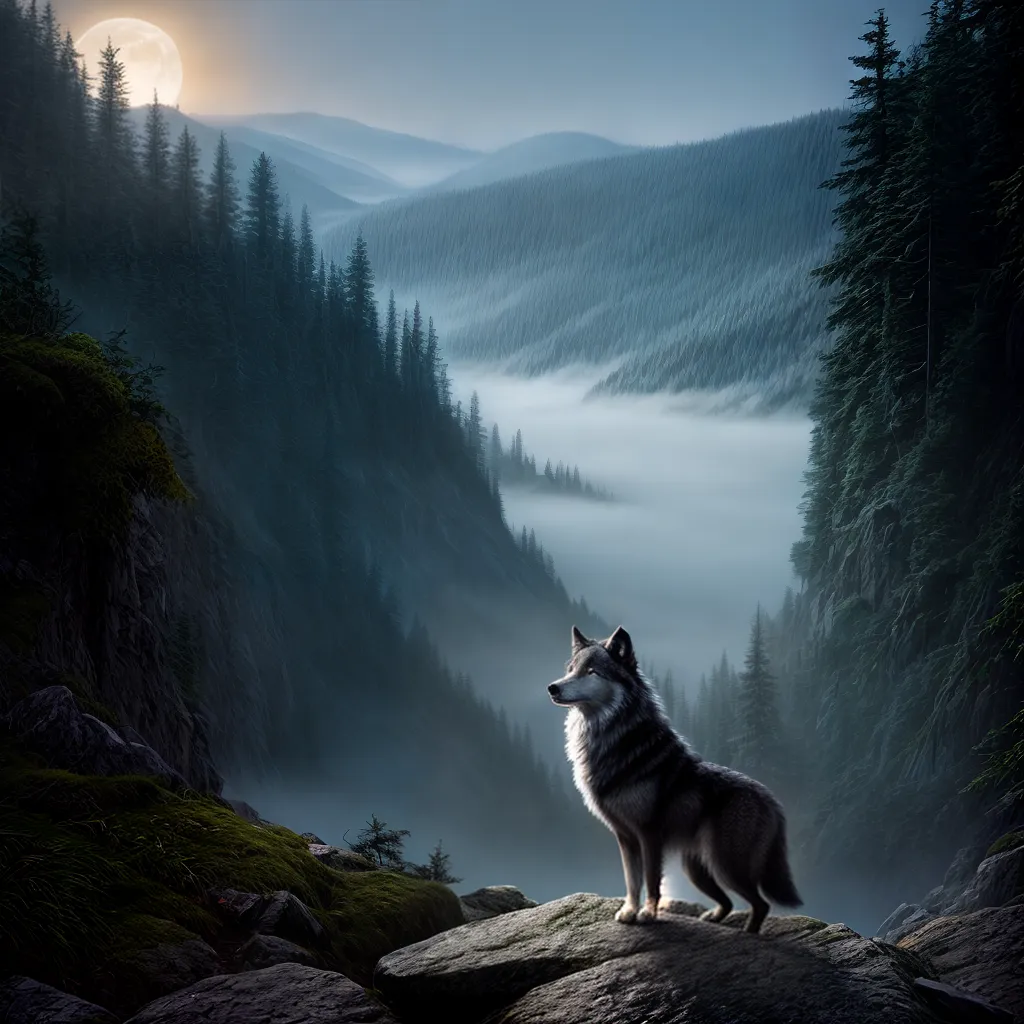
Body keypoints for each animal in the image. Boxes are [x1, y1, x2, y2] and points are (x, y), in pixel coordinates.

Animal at [548, 625, 802, 933]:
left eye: (592, 671)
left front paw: (647, 914)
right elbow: (632, 882)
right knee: (729, 902)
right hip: (697, 871)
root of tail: (772, 800)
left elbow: (652, 882)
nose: (553, 687)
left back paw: (749, 934)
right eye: (571, 670)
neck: (607, 739)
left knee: (761, 904)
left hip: (726, 867)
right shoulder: (625, 838)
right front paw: (629, 912)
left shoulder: (649, 835)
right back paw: (713, 918)